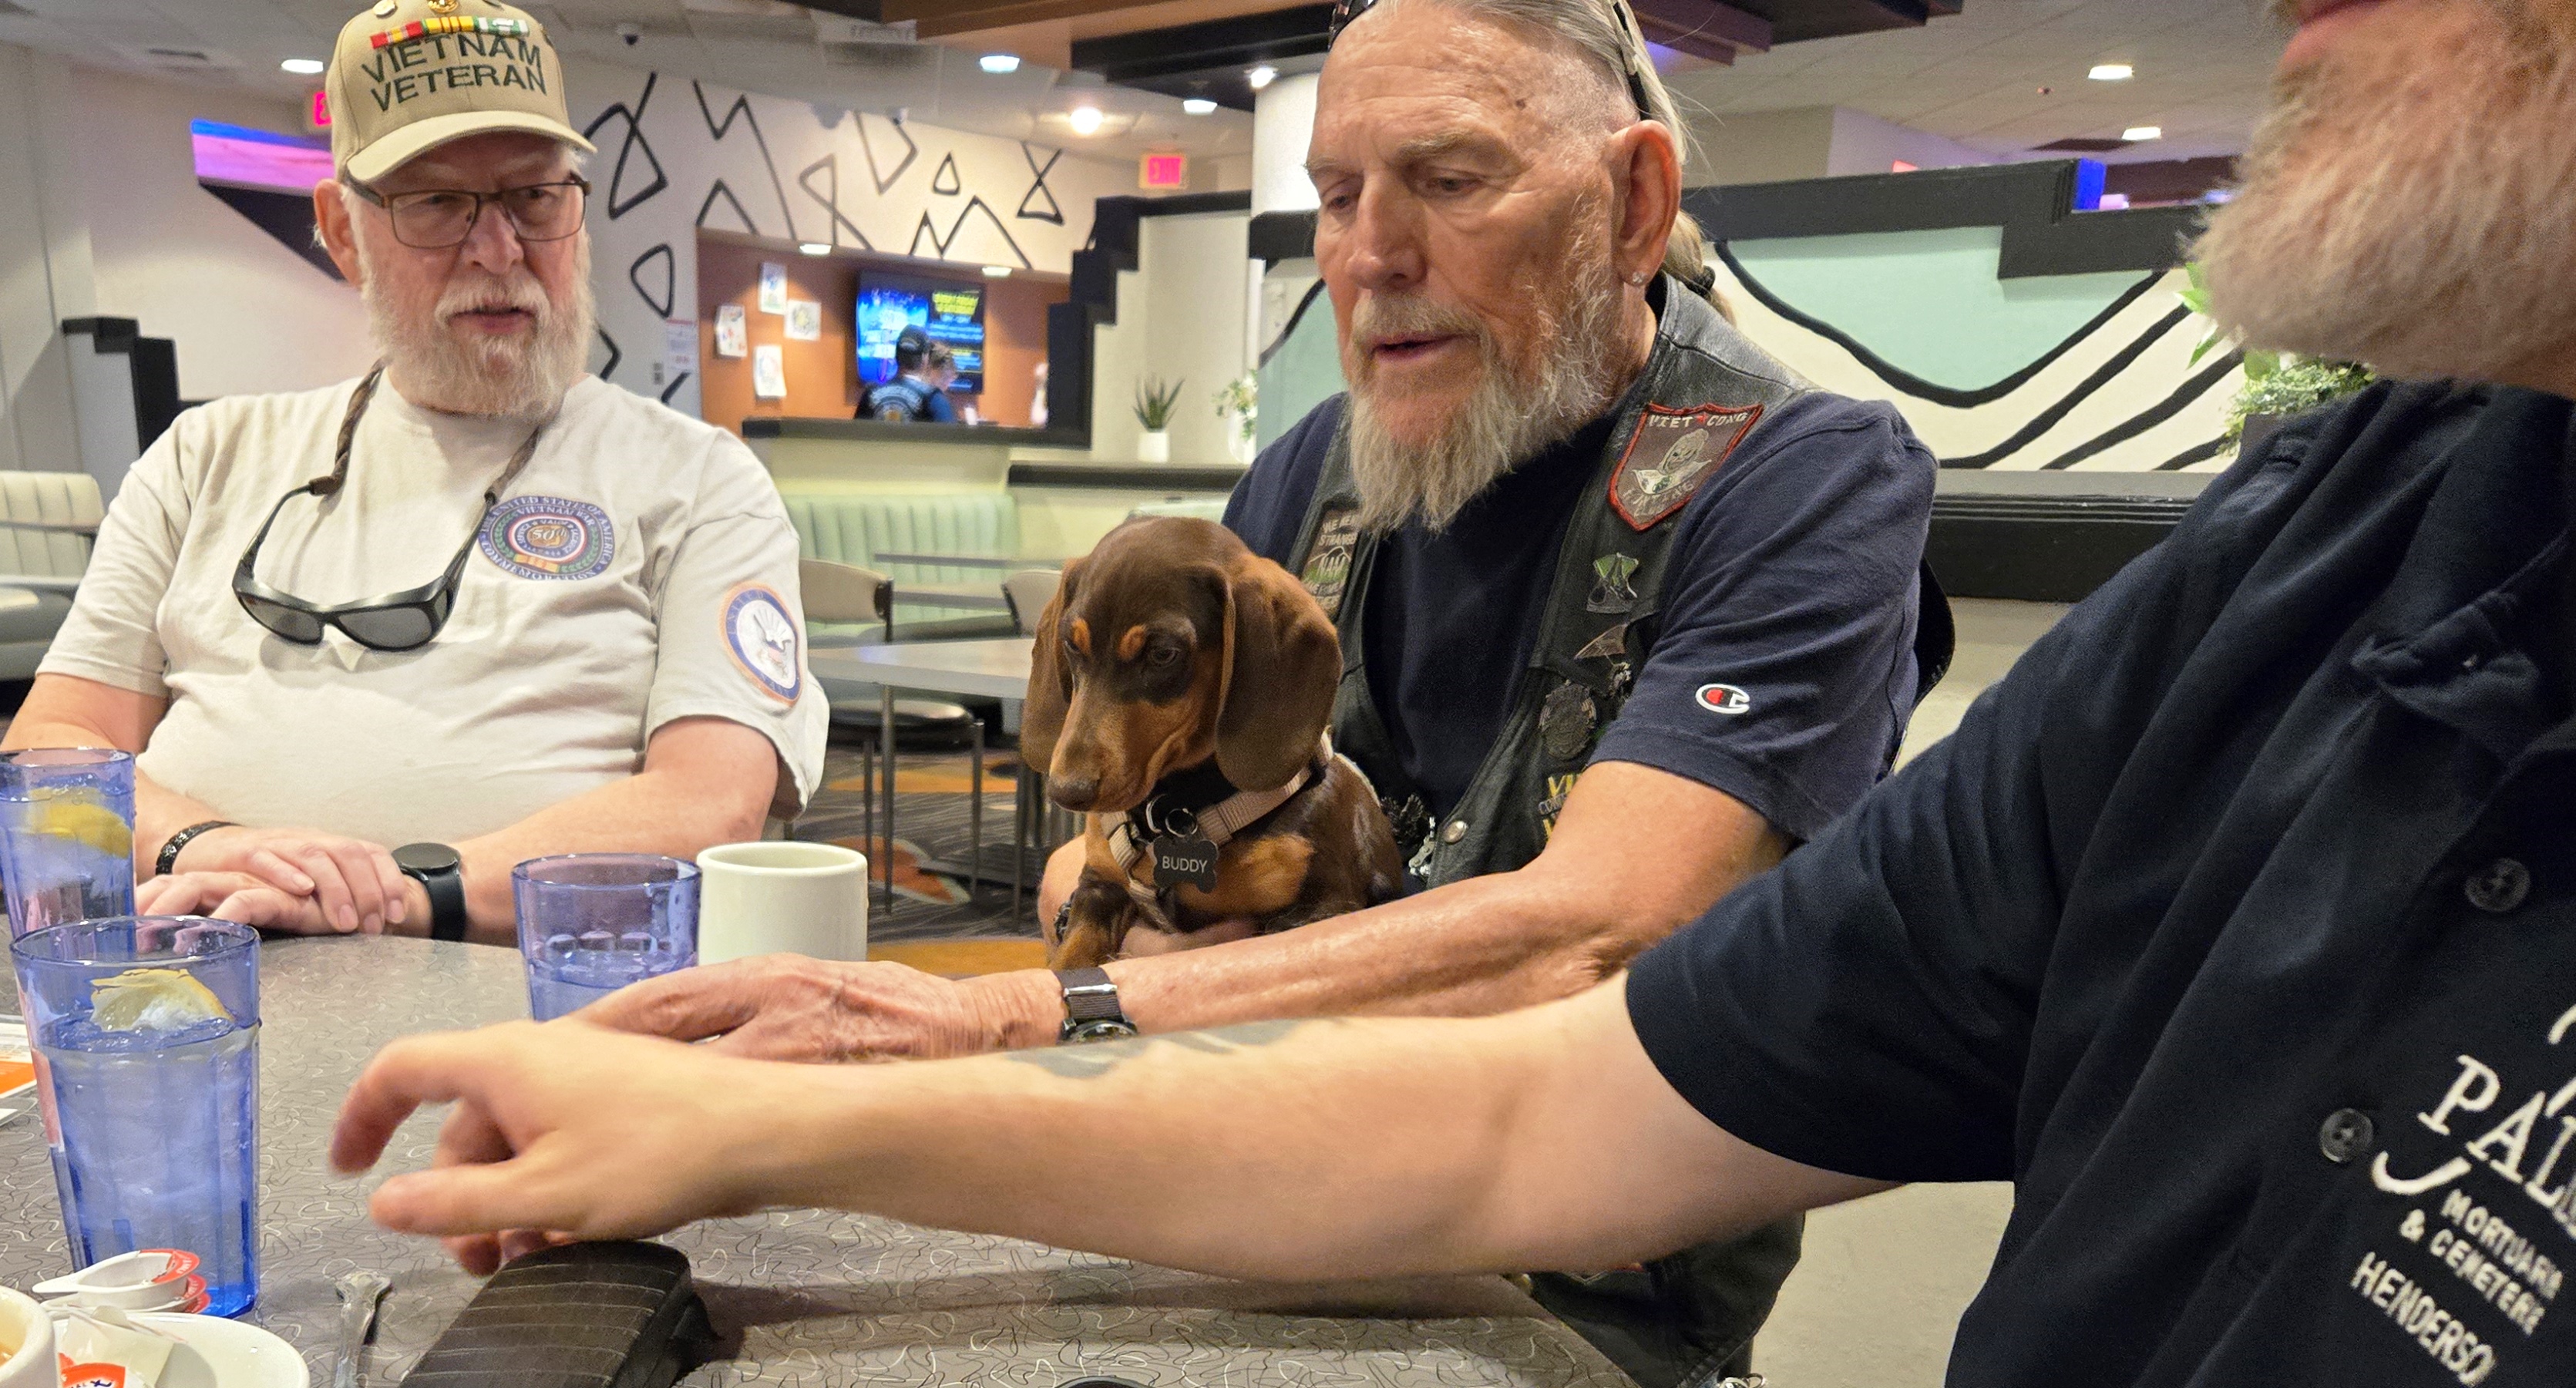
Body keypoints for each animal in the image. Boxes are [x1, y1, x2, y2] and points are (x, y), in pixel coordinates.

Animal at [1022, 516, 1404, 969]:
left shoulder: (1321, 908)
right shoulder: (1099, 888)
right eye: (1070, 643)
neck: (1176, 816)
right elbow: (1070, 961)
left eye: (1163, 654)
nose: (1067, 792)